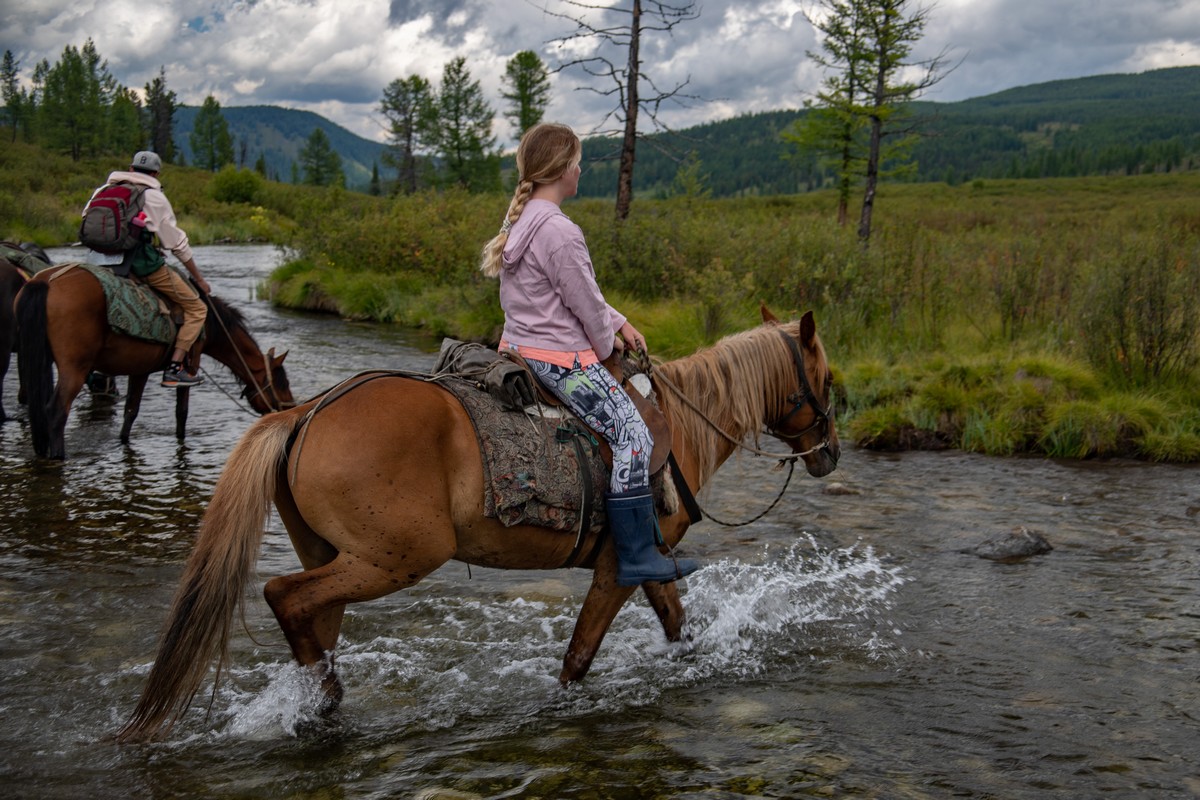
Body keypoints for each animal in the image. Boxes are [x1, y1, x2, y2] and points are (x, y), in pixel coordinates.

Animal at [15, 266, 295, 460]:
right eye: (283, 383)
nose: (290, 408)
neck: (209, 322)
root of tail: (43, 281)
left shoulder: (140, 369)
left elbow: (130, 412)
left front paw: (123, 442)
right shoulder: (191, 363)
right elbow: (181, 413)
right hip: (74, 368)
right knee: (56, 411)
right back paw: (58, 456)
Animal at [117, 303, 840, 743]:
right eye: (828, 378)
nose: (830, 454)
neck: (678, 430)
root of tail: (305, 412)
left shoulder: (648, 561)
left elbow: (677, 624)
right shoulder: (619, 565)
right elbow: (580, 657)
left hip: (333, 554)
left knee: (312, 621)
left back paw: (323, 704)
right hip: (393, 559)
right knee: (282, 596)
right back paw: (325, 699)